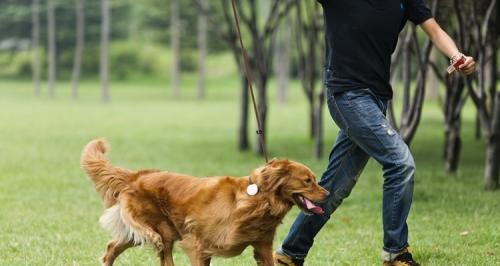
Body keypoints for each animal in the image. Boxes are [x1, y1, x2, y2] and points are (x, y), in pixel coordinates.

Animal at [81, 139, 328, 266]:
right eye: (308, 181)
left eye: (314, 179)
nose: (327, 194)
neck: (258, 199)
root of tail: (136, 176)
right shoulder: (197, 244)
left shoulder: (262, 246)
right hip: (162, 231)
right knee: (155, 244)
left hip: (151, 233)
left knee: (111, 247)